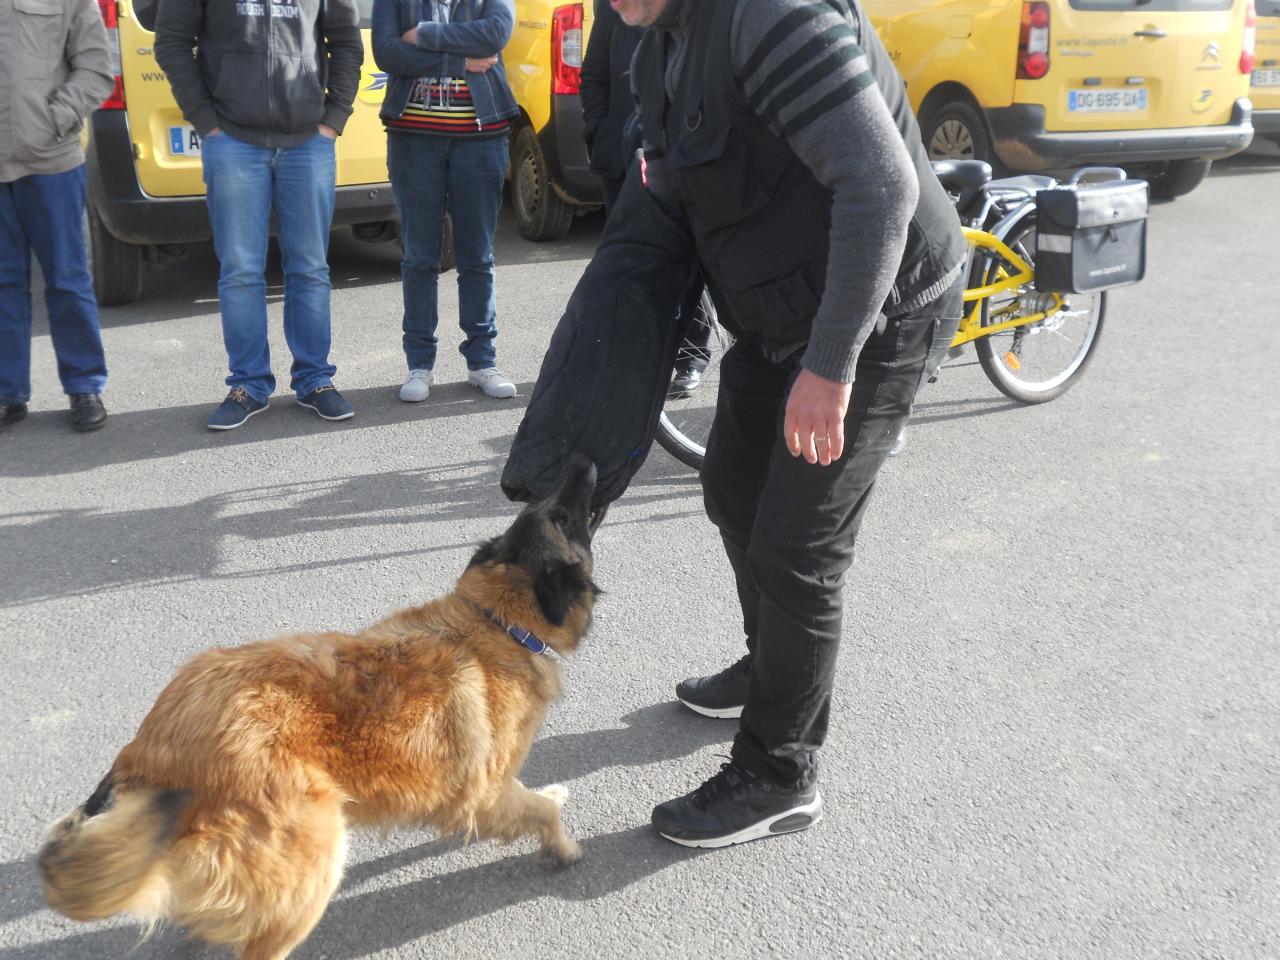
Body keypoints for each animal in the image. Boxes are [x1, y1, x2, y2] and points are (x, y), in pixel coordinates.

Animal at [40, 458, 599, 960]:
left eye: (545, 506)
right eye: (564, 518)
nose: (585, 462)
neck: (498, 620)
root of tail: (151, 748)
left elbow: (537, 799)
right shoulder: (486, 794)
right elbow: (540, 811)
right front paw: (563, 847)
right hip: (316, 854)